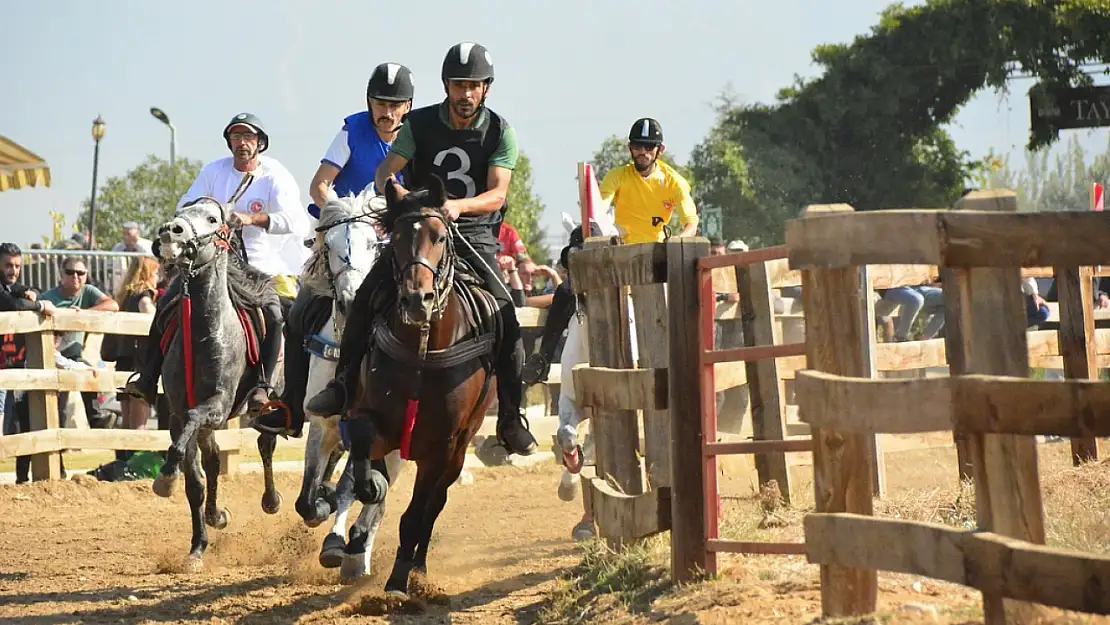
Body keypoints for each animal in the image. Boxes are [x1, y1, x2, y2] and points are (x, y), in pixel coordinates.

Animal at [152, 196, 279, 572]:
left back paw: (271, 500)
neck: (203, 334)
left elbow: (197, 426)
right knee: (212, 463)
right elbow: (195, 481)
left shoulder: (217, 406)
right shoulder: (177, 414)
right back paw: (215, 515)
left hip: (266, 405)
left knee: (266, 445)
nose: (171, 231)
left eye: (211, 218)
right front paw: (197, 547)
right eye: (181, 211)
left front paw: (166, 477)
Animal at [341, 175, 499, 595]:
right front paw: (372, 486)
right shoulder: (371, 417)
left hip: (461, 446)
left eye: (440, 237)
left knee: (434, 504)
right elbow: (363, 449)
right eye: (394, 238)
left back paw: (418, 567)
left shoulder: (442, 446)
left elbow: (417, 513)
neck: (422, 353)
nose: (417, 299)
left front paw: (398, 581)